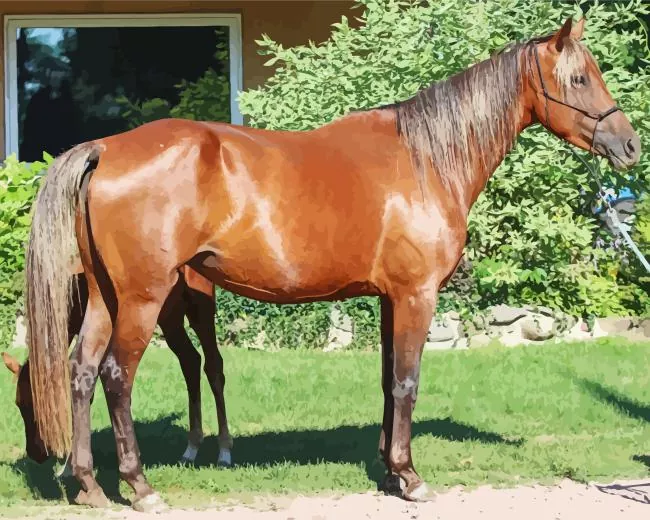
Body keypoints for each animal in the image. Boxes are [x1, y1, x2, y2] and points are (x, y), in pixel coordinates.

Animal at [3, 265, 233, 482]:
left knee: (213, 366)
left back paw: (224, 452)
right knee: (190, 361)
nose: (35, 454)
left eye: (34, 405)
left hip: (199, 310)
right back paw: (191, 450)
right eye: (18, 404)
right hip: (170, 318)